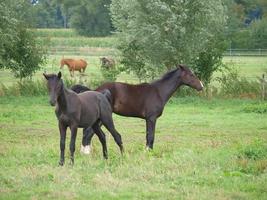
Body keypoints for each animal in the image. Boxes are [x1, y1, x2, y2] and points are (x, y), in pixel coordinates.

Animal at [73, 65, 203, 151]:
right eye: (191, 75)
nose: (201, 86)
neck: (159, 92)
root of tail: (94, 91)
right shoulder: (151, 118)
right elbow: (151, 136)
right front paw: (149, 153)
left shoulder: (148, 119)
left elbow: (148, 136)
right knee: (88, 132)